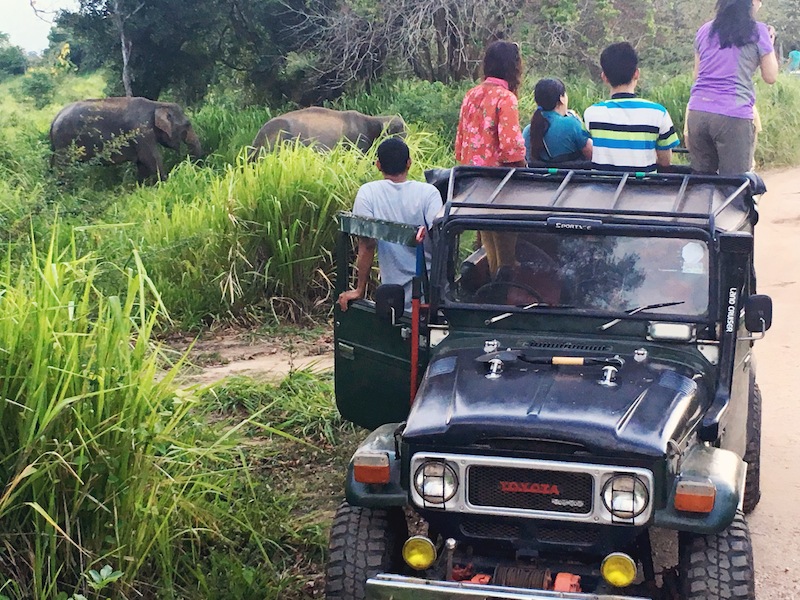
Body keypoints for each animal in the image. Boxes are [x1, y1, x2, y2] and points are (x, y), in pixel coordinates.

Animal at [49, 97, 202, 182]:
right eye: (187, 124)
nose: (196, 168)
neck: (157, 104)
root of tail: (54, 119)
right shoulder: (141, 131)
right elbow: (150, 158)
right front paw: (166, 182)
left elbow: (142, 162)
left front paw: (142, 187)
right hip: (65, 143)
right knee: (65, 169)